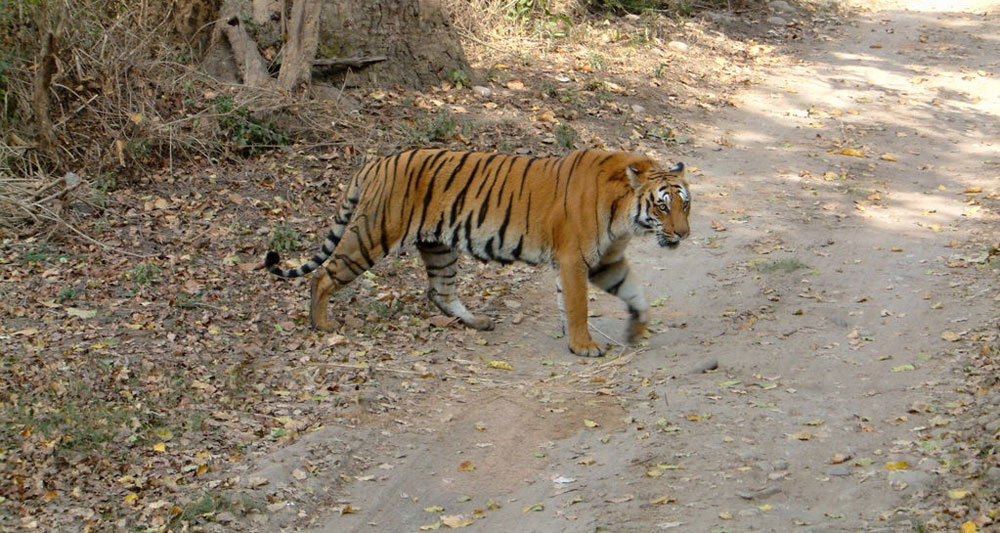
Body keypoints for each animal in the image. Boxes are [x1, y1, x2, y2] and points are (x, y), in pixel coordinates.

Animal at [262, 150, 692, 356]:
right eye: (662, 207)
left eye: (685, 205)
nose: (684, 234)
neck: (625, 216)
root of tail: (375, 163)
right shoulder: (575, 259)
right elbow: (577, 306)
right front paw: (584, 346)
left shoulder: (607, 261)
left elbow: (635, 293)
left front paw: (636, 330)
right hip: (371, 236)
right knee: (324, 275)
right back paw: (322, 324)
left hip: (439, 247)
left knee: (439, 291)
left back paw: (479, 322)